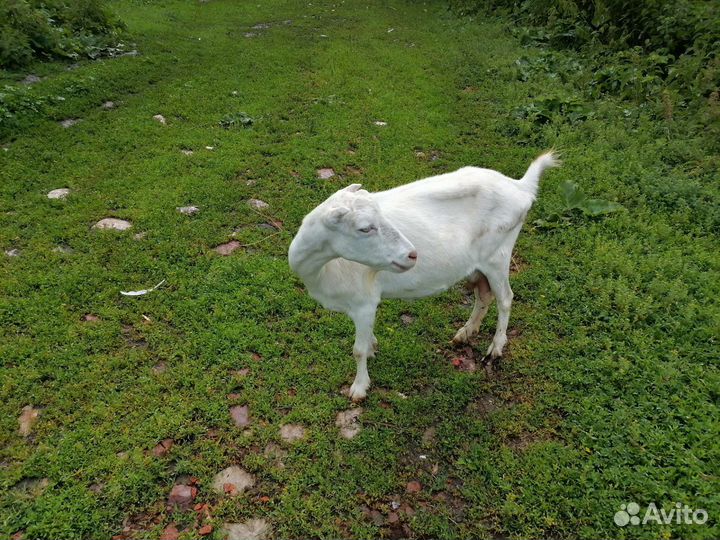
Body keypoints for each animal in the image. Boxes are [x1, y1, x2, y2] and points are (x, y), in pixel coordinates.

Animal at [288, 152, 559, 400]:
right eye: (364, 228)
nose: (412, 254)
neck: (323, 271)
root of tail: (520, 187)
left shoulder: (364, 301)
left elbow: (357, 350)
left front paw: (359, 388)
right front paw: (373, 347)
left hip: (498, 255)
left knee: (505, 298)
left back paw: (495, 348)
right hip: (480, 265)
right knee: (484, 294)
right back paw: (465, 333)